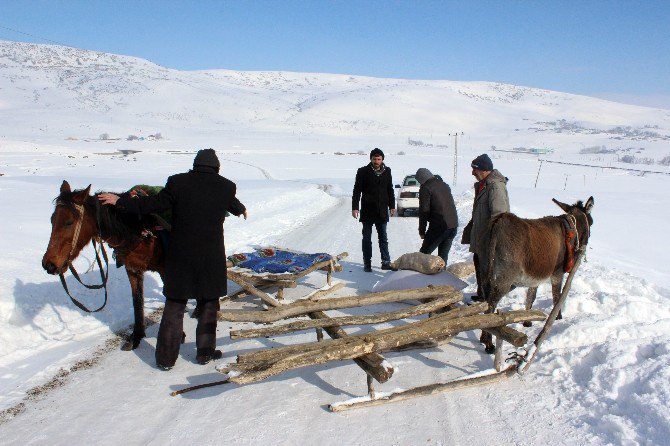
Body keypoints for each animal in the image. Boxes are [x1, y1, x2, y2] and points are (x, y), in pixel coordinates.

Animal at [42, 179, 167, 350]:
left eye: (69, 222)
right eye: (52, 220)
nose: (49, 264)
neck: (139, 227)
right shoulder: (133, 269)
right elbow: (137, 301)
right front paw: (136, 337)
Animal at [480, 197, 596, 354]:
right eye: (591, 222)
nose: (584, 247)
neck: (571, 229)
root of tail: (499, 222)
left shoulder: (534, 279)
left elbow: (531, 297)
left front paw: (527, 321)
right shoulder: (557, 274)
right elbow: (557, 298)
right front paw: (558, 318)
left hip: (484, 266)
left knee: (486, 301)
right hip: (505, 277)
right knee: (491, 304)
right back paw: (488, 342)